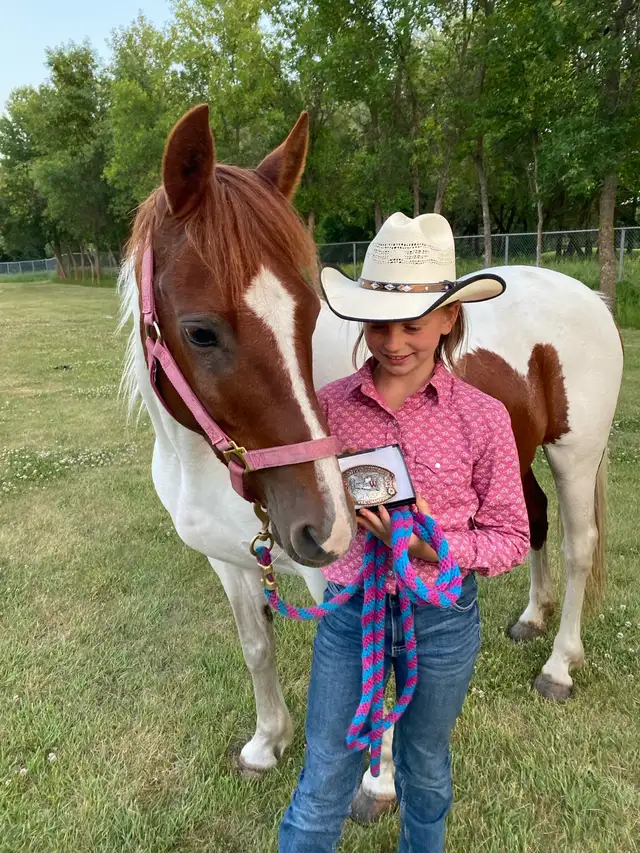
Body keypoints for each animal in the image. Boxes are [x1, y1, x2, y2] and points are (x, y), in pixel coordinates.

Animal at [119, 104, 623, 820]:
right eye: (200, 331)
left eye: (307, 317)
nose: (325, 524)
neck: (208, 469)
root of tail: (587, 297)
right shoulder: (229, 563)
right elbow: (256, 646)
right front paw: (266, 744)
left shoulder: (336, 575)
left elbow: (373, 657)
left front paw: (378, 781)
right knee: (534, 524)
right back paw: (531, 618)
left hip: (575, 453)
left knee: (580, 544)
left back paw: (558, 665)